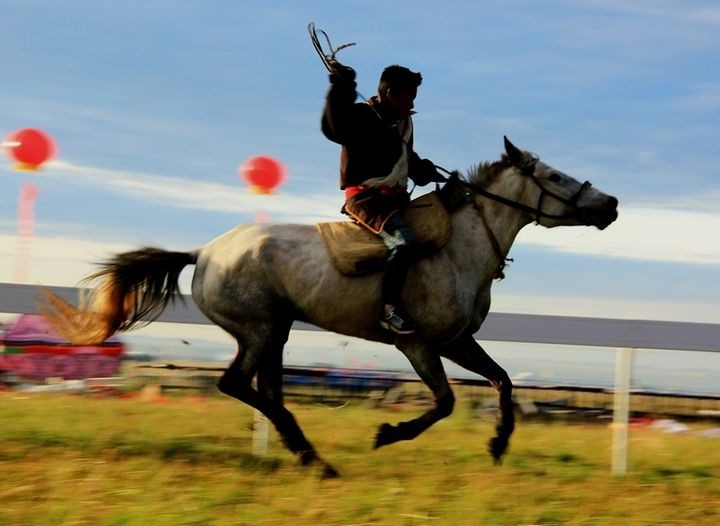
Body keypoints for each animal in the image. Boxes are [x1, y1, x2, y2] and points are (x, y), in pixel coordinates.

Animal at [42, 136, 620, 478]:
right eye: (556, 177)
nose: (612, 204)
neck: (458, 245)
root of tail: (203, 253)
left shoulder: (457, 341)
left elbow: (502, 381)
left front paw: (498, 444)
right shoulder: (418, 345)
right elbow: (445, 402)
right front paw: (388, 434)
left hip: (274, 333)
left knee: (266, 390)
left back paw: (307, 453)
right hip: (259, 329)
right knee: (237, 385)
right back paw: (313, 457)